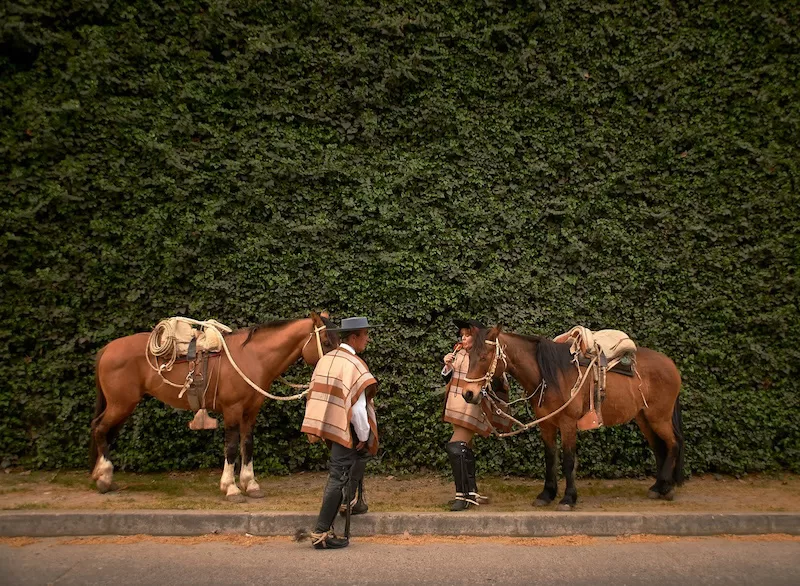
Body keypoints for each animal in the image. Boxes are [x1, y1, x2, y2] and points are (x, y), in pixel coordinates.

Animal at [90, 311, 339, 501]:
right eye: (327, 342)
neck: (252, 357)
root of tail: (107, 348)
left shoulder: (250, 412)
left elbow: (247, 444)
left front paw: (251, 484)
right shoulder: (232, 410)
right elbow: (231, 447)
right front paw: (231, 488)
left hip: (122, 406)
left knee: (104, 431)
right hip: (121, 404)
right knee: (100, 429)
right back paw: (104, 478)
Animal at [462, 326, 684, 510]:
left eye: (484, 356)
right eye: (469, 355)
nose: (468, 394)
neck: (549, 375)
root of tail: (670, 364)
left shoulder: (568, 423)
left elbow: (568, 460)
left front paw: (568, 498)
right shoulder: (546, 424)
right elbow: (550, 457)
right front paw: (546, 494)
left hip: (659, 418)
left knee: (673, 444)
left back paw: (667, 488)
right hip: (644, 418)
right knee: (659, 448)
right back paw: (657, 487)